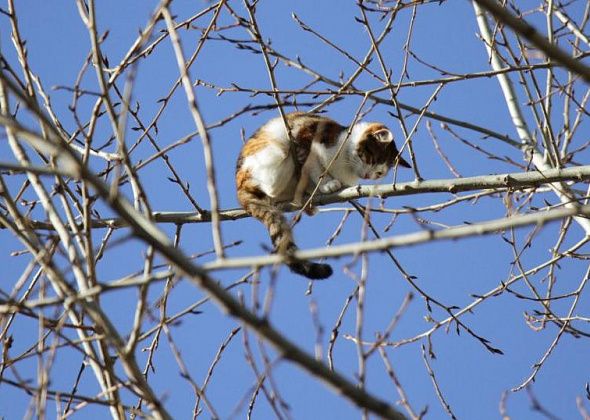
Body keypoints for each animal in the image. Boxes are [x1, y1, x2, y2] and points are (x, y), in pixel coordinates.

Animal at [236, 113, 412, 280]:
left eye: (379, 173)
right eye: (372, 159)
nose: (368, 176)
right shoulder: (308, 136)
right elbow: (313, 165)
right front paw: (327, 183)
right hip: (271, 151)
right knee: (274, 181)